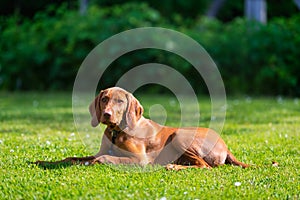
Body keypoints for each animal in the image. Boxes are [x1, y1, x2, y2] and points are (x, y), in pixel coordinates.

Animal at [33, 86, 248, 170]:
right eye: (104, 99)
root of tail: (225, 146)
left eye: (120, 101)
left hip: (180, 136)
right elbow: (70, 158)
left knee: (205, 166)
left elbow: (103, 158)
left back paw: (173, 167)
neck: (115, 133)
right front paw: (44, 162)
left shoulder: (140, 160)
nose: (107, 114)